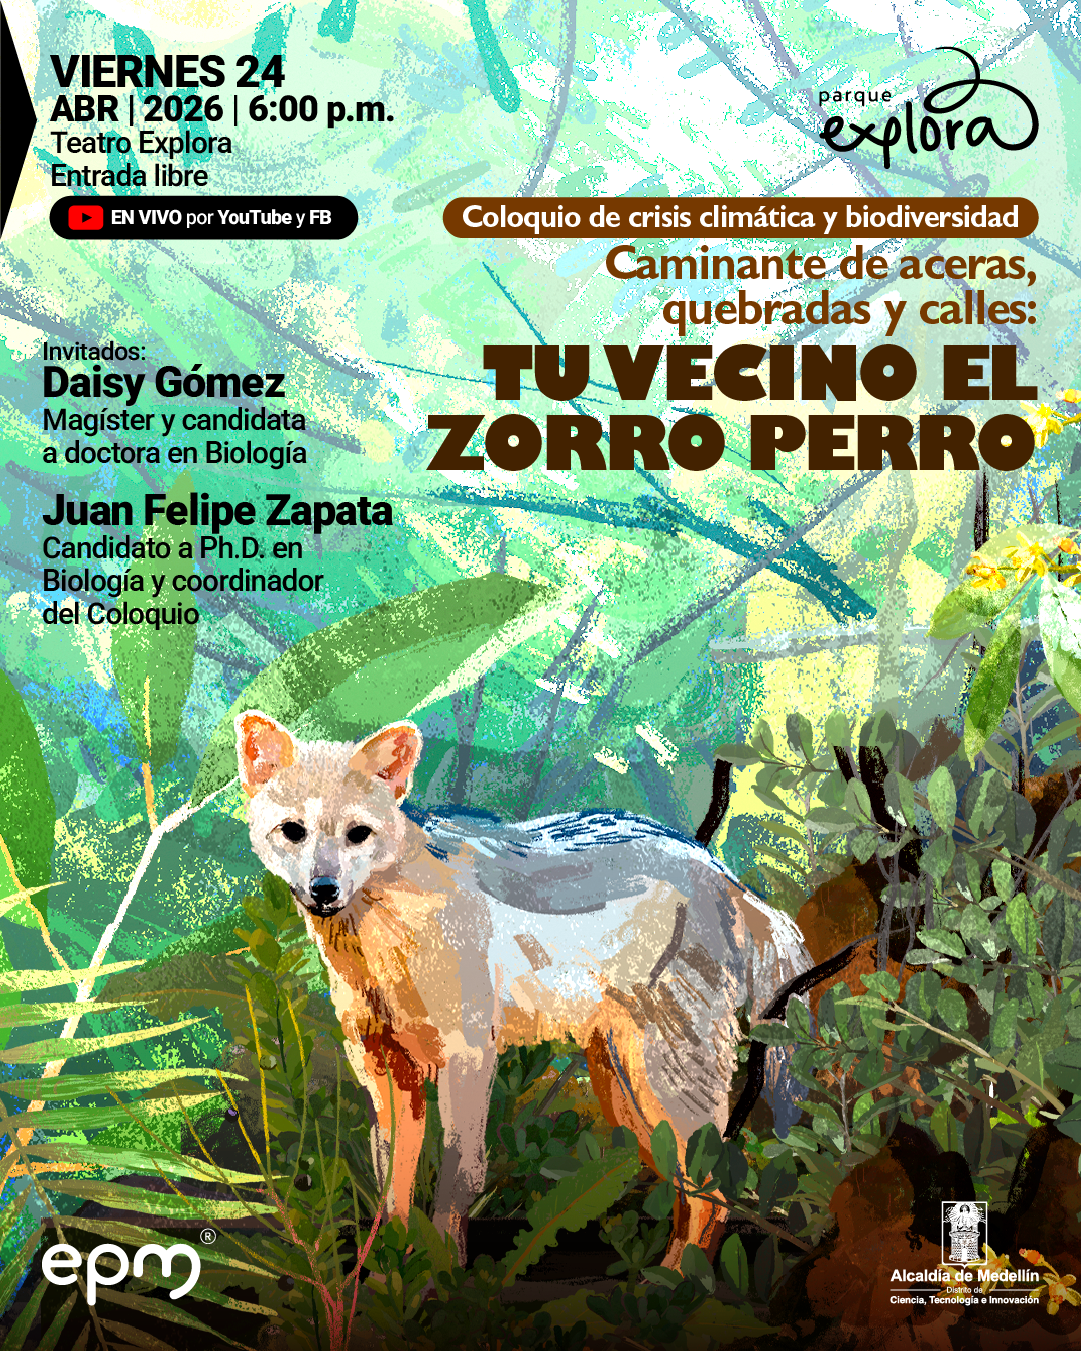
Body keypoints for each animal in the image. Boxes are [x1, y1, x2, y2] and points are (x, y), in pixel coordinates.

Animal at [236, 712, 812, 1269]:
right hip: (626, 1092)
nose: (324, 889)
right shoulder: (384, 1066)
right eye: (293, 831)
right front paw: (381, 1279)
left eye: (358, 834)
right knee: (697, 1189)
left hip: (662, 1084)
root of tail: (725, 875)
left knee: (714, 1191)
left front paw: (443, 1277)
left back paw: (674, 1288)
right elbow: (392, 1196)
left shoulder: (468, 1055)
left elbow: (458, 1178)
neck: (383, 945)